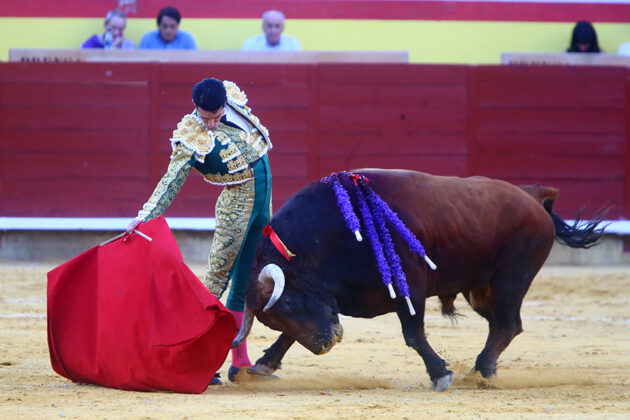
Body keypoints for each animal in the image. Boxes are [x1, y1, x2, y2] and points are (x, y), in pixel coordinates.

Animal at [232, 169, 608, 392]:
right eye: (272, 317)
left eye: (289, 301)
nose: (328, 343)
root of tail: (531, 195)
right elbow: (290, 336)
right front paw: (261, 366)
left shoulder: (409, 289)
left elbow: (413, 335)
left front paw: (440, 374)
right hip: (480, 289)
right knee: (503, 325)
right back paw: (483, 369)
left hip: (509, 280)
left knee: (507, 324)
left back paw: (483, 371)